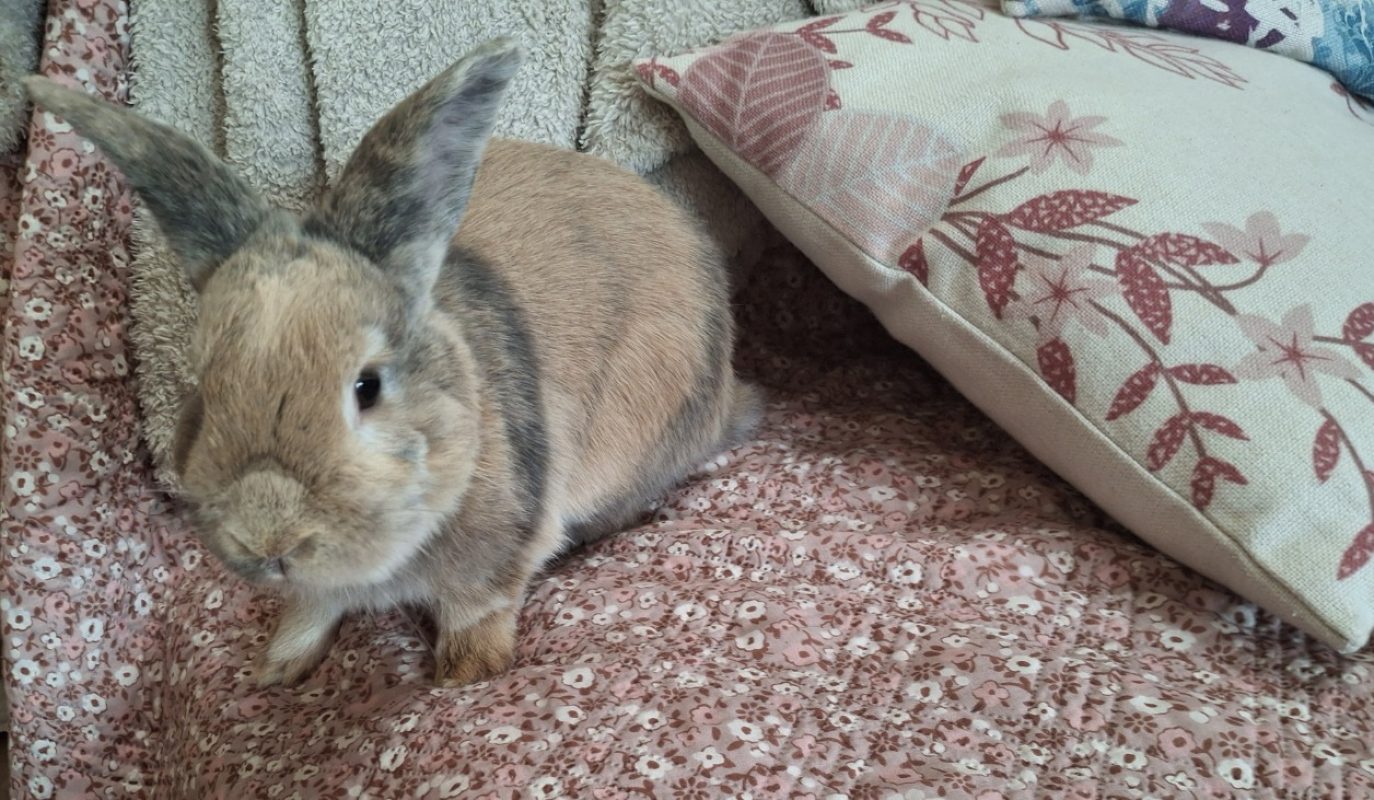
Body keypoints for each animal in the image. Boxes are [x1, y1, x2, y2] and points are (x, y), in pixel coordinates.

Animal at [25, 38, 761, 688]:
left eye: (368, 386)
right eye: (202, 390)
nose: (269, 538)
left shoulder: (498, 553)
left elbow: (478, 611)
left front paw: (464, 675)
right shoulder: (319, 589)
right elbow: (311, 608)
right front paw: (276, 669)